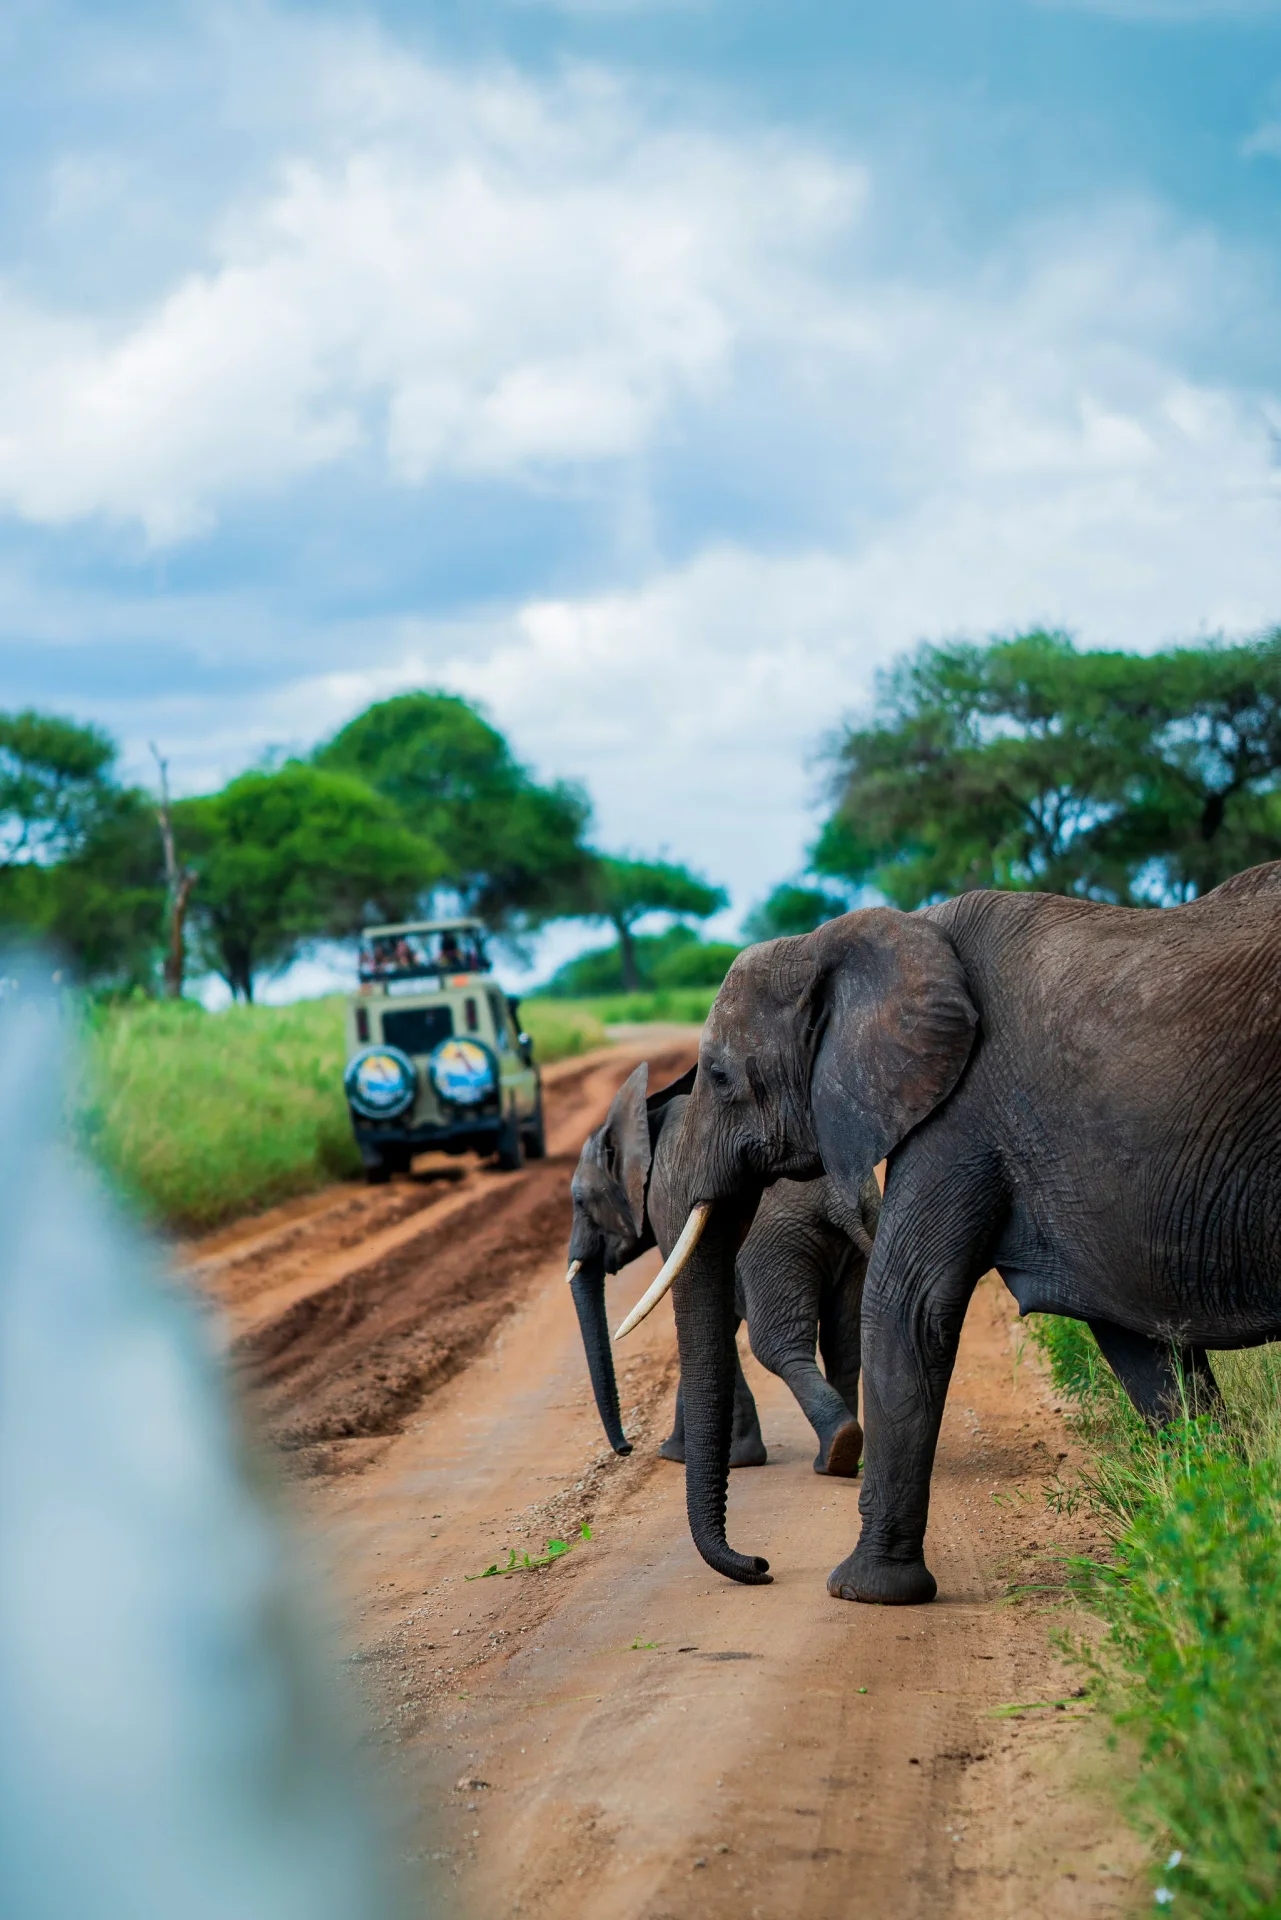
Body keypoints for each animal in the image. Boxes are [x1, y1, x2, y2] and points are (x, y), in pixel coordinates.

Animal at [566, 1061, 879, 1476]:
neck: (645, 1117)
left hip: (775, 1248)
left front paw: (701, 1456)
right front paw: (697, 1454)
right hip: (857, 1234)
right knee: (843, 1341)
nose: (626, 1448)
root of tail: (836, 1203)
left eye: (579, 1201)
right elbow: (719, 1321)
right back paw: (840, 1459)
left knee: (777, 1345)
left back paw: (836, 1451)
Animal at [617, 861, 1281, 1606]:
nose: (759, 1565)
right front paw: (1218, 1533)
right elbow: (1145, 1349)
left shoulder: (963, 1110)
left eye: (722, 1076)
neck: (851, 940)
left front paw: (864, 1592)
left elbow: (905, 1310)